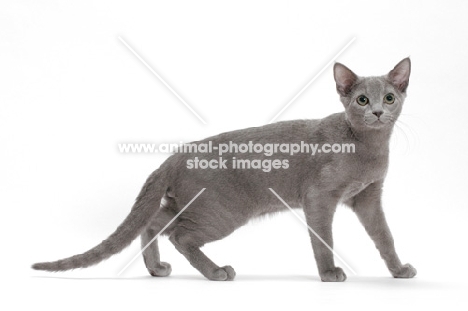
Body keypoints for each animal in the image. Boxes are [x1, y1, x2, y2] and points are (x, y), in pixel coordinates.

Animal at [33, 58, 416, 282]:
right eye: (362, 100)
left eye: (390, 97)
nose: (378, 112)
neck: (369, 146)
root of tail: (172, 157)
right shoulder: (319, 198)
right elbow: (324, 240)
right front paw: (329, 273)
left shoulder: (368, 198)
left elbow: (385, 236)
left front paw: (398, 270)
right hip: (222, 212)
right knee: (179, 236)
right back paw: (216, 271)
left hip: (191, 204)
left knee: (154, 223)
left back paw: (156, 268)